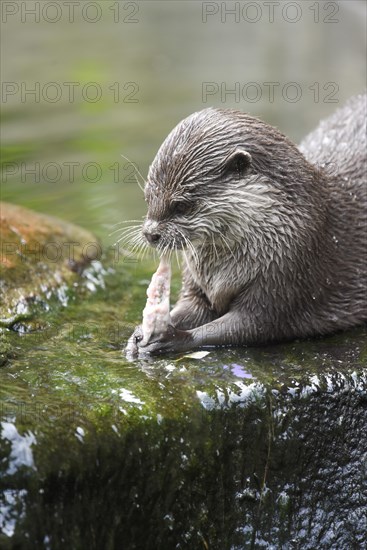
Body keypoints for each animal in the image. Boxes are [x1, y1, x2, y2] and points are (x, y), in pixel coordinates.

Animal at [126, 92, 367, 356]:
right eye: (148, 197)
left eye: (182, 205)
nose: (150, 234)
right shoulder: (197, 281)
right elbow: (190, 307)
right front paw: (139, 332)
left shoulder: (289, 268)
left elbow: (254, 323)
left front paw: (171, 337)